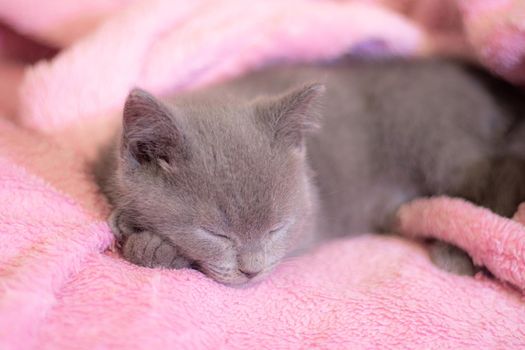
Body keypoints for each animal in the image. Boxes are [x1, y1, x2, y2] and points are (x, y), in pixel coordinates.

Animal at [94, 58, 524, 286]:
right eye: (216, 234)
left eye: (276, 229)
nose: (251, 270)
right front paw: (136, 230)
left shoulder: (308, 230)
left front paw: (149, 245)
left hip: (435, 144)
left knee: (501, 175)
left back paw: (456, 252)